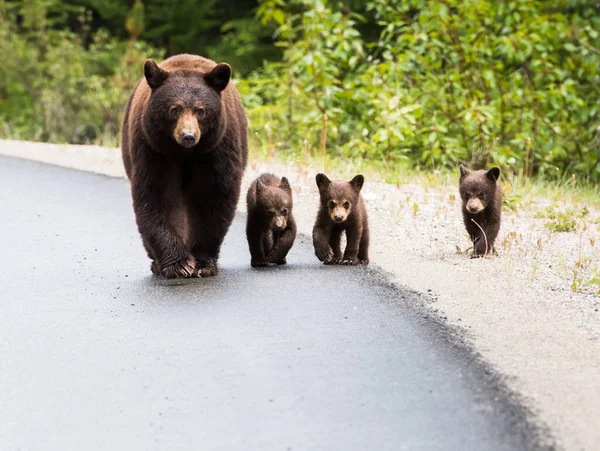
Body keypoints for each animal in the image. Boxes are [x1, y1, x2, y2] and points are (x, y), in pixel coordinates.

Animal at [120, 53, 247, 278]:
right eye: (174, 109)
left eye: (201, 110)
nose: (188, 136)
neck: (186, 153)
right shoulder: (154, 150)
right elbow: (157, 196)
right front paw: (179, 264)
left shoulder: (216, 148)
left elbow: (213, 195)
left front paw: (202, 263)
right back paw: (156, 262)